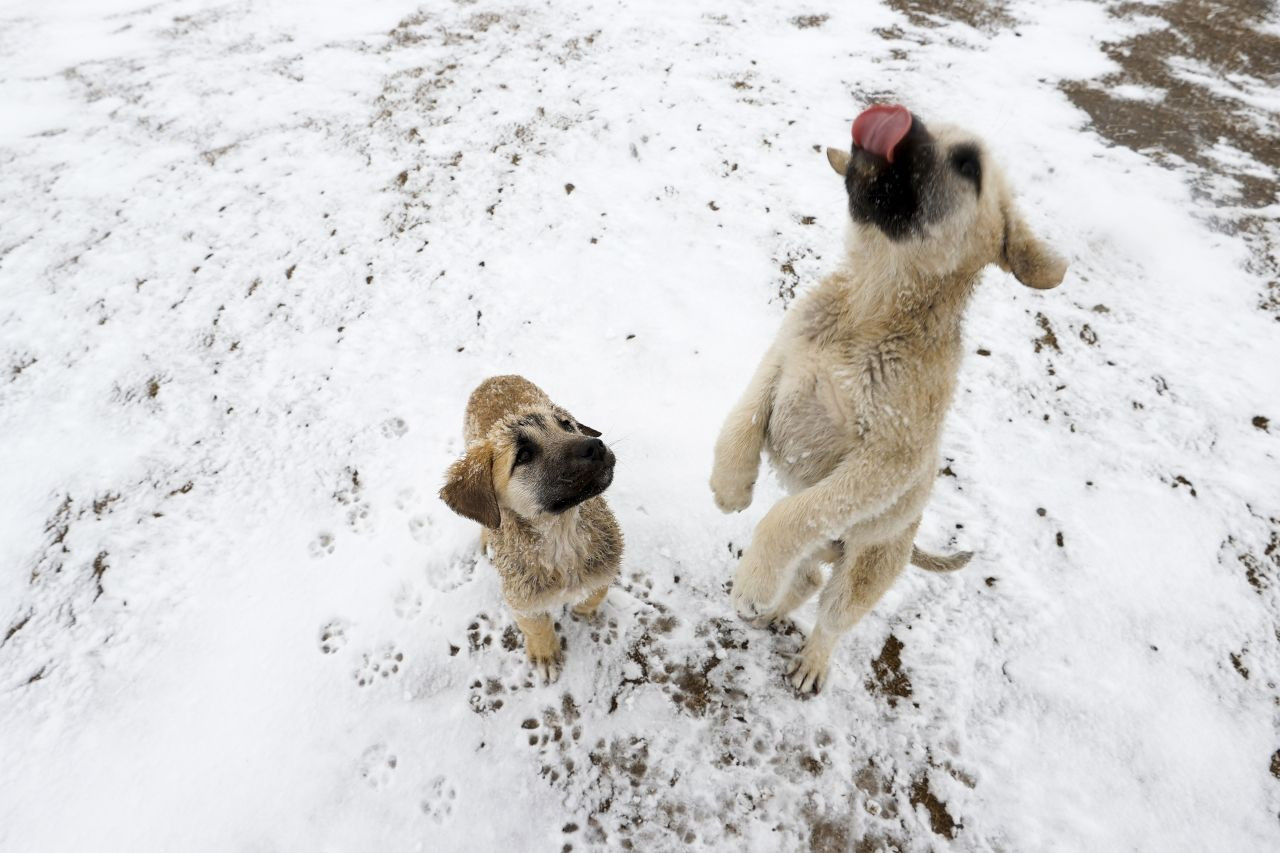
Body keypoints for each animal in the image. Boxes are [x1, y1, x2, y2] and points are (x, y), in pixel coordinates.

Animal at [437, 376, 622, 681]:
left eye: (567, 425)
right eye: (523, 455)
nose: (596, 446)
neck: (561, 535)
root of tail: (494, 378)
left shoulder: (607, 566)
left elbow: (597, 592)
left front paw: (584, 612)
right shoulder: (521, 601)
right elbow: (537, 627)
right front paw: (545, 655)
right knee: (488, 518)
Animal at [711, 104, 1070, 691]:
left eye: (968, 164)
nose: (897, 118)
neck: (869, 310)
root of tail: (912, 540)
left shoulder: (885, 460)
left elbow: (791, 515)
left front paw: (754, 580)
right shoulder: (780, 359)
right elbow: (739, 422)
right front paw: (730, 486)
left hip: (864, 570)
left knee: (830, 613)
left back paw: (806, 655)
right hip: (827, 551)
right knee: (807, 578)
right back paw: (767, 613)